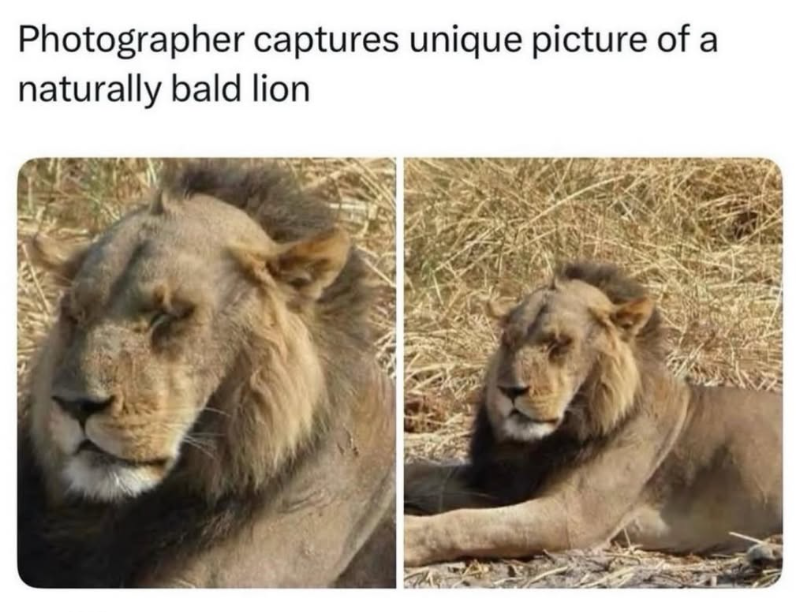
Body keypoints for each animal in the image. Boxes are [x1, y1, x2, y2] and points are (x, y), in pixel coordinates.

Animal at [404, 262, 781, 567]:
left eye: (559, 344)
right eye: (508, 341)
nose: (509, 390)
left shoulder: (572, 518)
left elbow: (468, 522)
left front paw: (406, 537)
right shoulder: (500, 482)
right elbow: (420, 473)